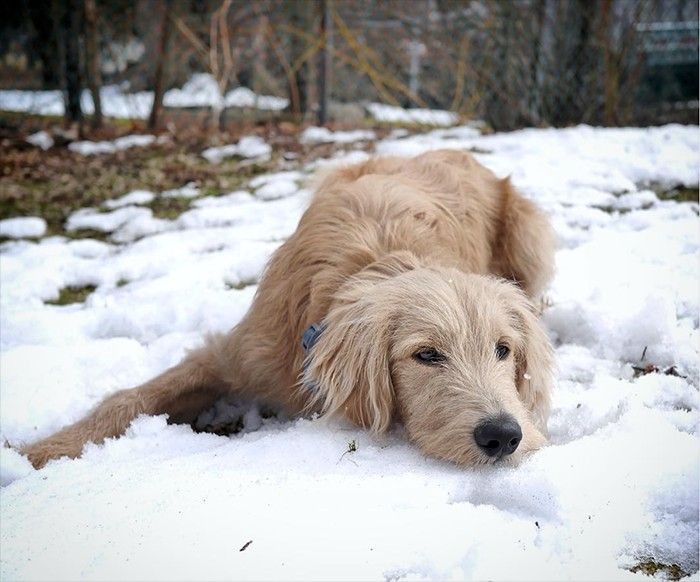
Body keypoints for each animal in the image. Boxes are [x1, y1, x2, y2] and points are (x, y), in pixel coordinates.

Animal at [21, 149, 556, 470]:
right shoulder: (240, 353)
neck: (379, 262)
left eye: (504, 350)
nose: (503, 436)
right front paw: (40, 451)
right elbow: (128, 398)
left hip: (528, 231)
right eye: (426, 355)